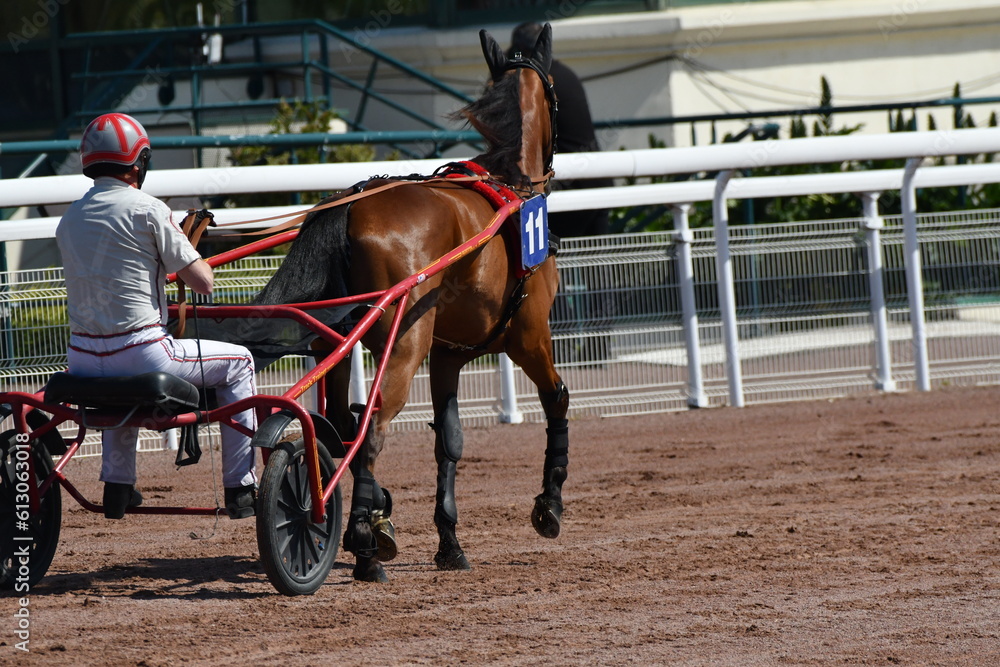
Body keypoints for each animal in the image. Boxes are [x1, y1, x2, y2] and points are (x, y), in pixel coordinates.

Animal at [254, 25, 569, 583]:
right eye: (556, 89)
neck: (510, 186)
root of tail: (352, 205)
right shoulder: (529, 337)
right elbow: (556, 399)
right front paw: (548, 505)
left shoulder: (447, 354)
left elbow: (450, 441)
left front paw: (449, 542)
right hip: (404, 344)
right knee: (372, 427)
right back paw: (362, 542)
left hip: (339, 344)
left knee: (342, 424)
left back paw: (368, 521)